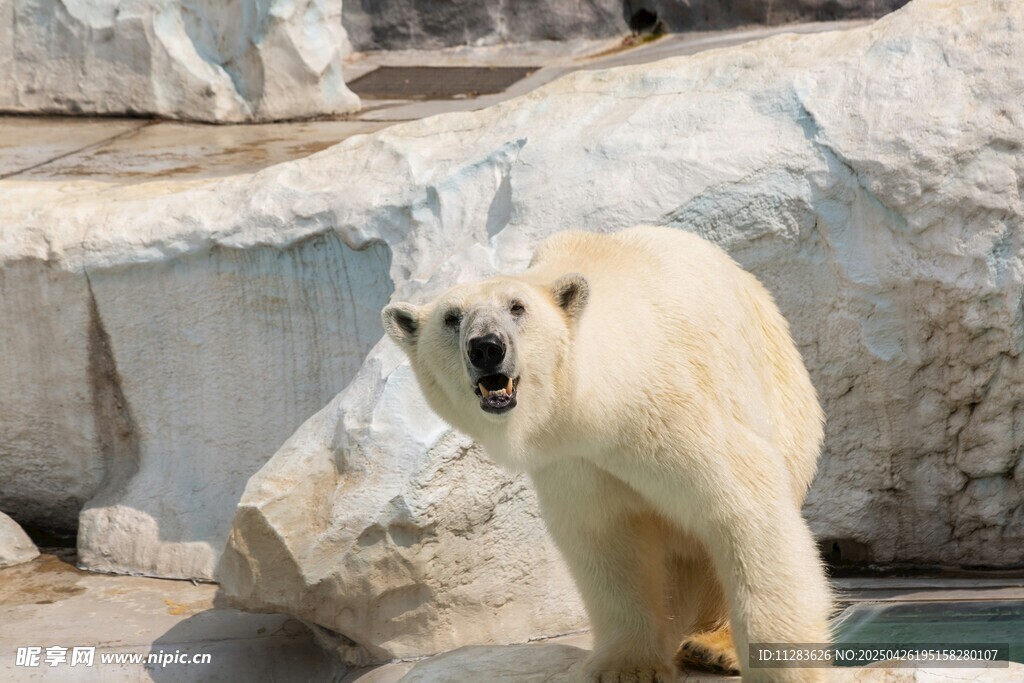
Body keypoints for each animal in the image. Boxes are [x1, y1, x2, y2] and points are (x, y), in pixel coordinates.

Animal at [382, 225, 831, 682]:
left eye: (517, 307)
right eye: (451, 317)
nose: (486, 347)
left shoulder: (667, 412)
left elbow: (744, 503)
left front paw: (785, 667)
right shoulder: (574, 460)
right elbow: (606, 535)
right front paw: (626, 666)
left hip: (783, 399)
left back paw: (713, 646)